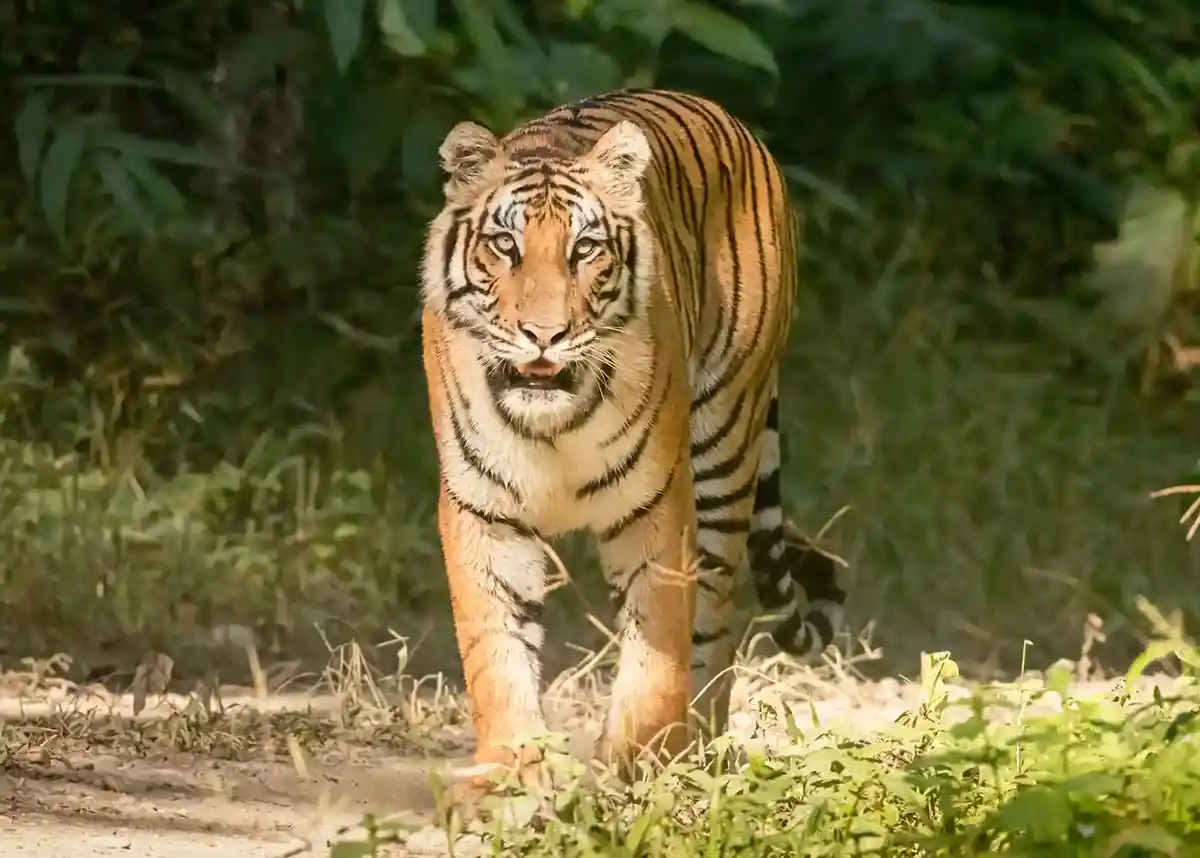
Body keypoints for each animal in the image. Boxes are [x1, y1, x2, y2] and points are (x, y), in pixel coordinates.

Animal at [419, 88, 847, 797]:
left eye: (585, 248)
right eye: (505, 245)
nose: (545, 335)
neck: (553, 425)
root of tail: (728, 116)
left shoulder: (657, 505)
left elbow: (657, 651)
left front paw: (637, 768)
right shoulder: (483, 509)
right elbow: (494, 649)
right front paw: (509, 773)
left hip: (725, 445)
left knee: (713, 619)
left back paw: (697, 748)